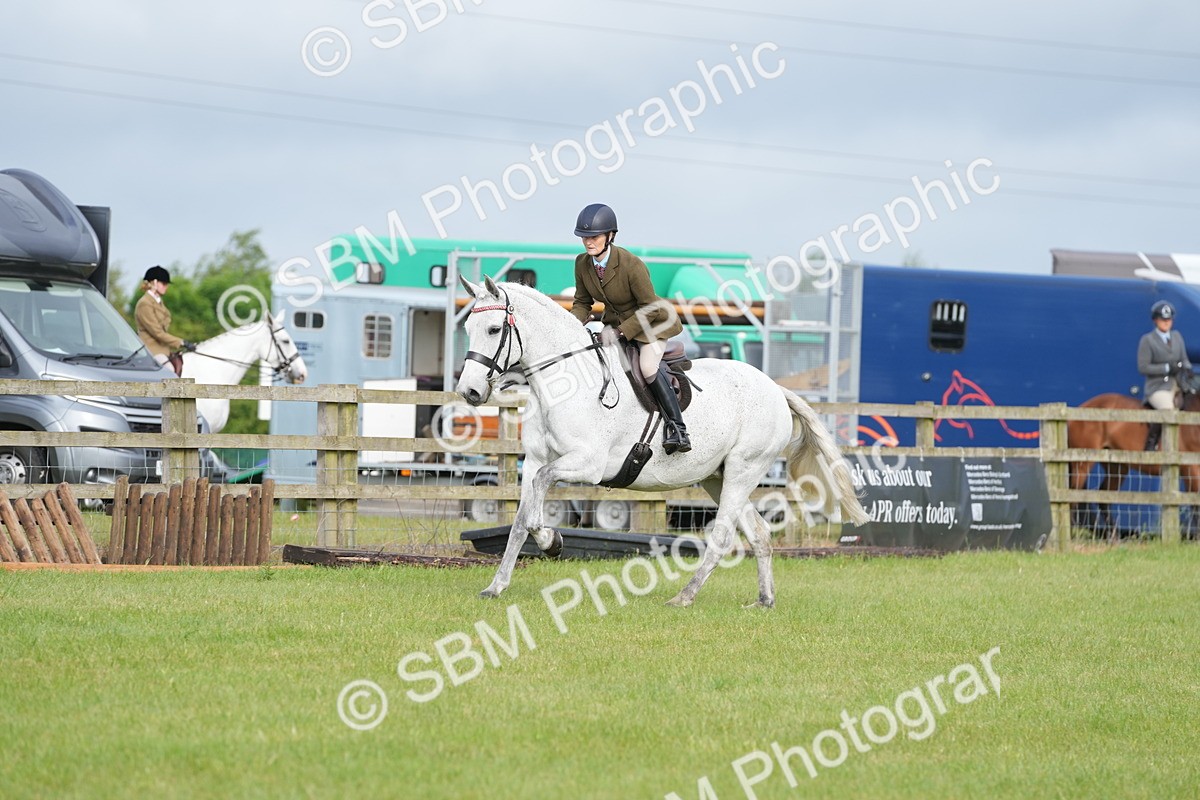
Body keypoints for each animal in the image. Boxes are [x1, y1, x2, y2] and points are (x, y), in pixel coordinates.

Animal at [455, 276, 868, 608]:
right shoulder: (536, 461)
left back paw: (684, 597)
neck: (563, 382)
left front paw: (551, 541)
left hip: (743, 469)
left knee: (722, 536)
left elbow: (537, 503)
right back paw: (764, 601)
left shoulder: (587, 464)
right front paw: (498, 585)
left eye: (494, 329)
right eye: (468, 328)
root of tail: (775, 389)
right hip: (718, 477)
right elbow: (521, 520)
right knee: (760, 534)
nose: (469, 392)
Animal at [1067, 385, 1200, 537]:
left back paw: (1115, 537)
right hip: (1082, 464)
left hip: (1117, 467)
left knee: (1104, 496)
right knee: (1072, 497)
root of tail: (1084, 406)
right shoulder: (1191, 468)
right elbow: (1196, 503)